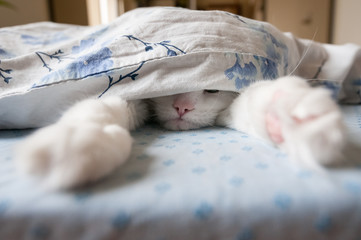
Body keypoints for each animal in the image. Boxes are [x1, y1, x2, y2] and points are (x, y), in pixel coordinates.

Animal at [16, 76, 344, 189]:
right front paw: (77, 143)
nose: (181, 107)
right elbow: (100, 111)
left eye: (211, 88)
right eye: (170, 88)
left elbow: (253, 99)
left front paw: (291, 117)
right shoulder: (129, 95)